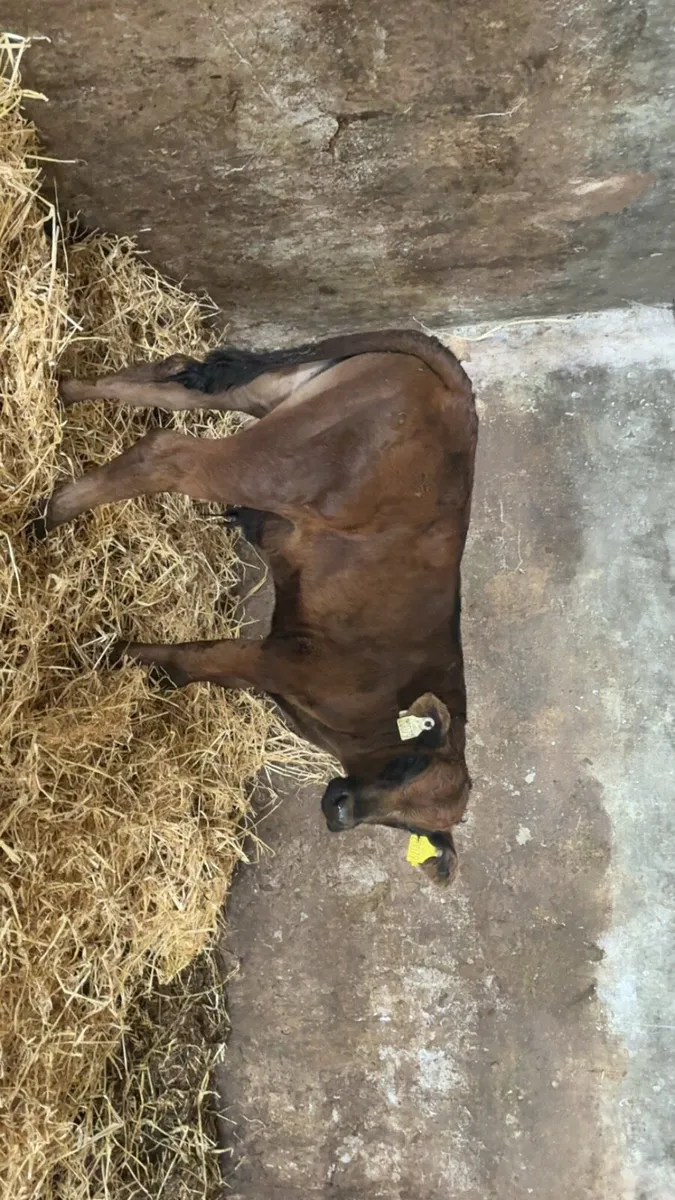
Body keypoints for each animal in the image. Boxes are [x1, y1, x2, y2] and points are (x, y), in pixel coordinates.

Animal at [38, 330, 477, 884]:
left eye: (404, 826)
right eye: (408, 763)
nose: (340, 811)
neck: (365, 729)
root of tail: (456, 394)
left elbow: (204, 665)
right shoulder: (284, 656)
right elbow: (202, 655)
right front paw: (115, 653)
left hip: (275, 400)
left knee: (178, 385)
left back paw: (66, 388)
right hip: (282, 465)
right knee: (169, 453)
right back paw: (50, 514)